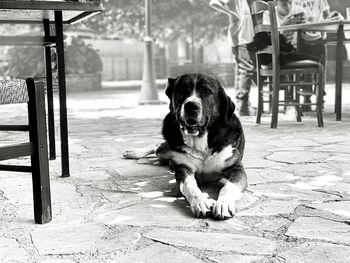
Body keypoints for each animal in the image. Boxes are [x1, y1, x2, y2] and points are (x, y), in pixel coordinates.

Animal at [123, 73, 246, 220]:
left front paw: (223, 204)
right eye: (182, 90)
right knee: (157, 146)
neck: (200, 140)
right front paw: (200, 202)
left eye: (206, 92)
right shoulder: (184, 169)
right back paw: (134, 152)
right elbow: (190, 186)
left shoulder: (235, 168)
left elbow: (228, 186)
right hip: (165, 149)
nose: (191, 105)